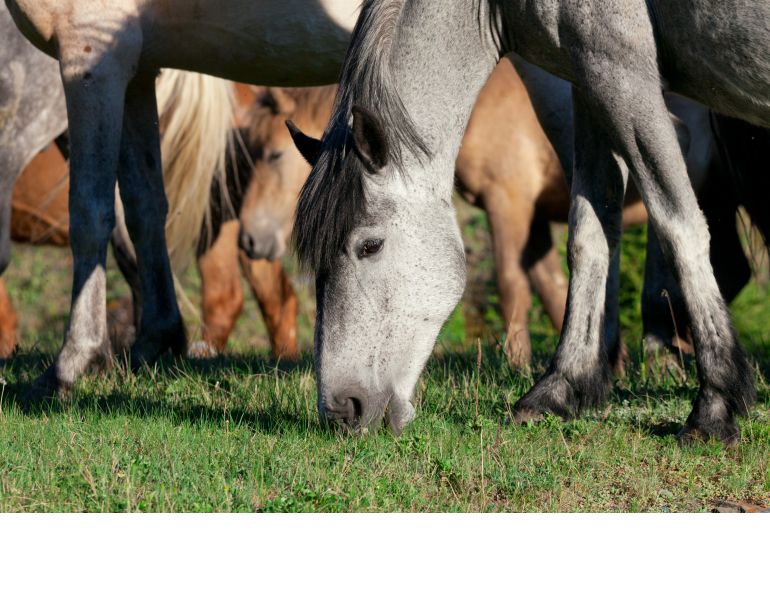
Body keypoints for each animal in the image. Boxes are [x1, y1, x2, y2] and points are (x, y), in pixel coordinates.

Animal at [3, 0, 360, 396]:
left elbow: (89, 214)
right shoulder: (138, 73)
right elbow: (143, 210)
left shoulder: (91, 59)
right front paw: (154, 341)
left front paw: (70, 364)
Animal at [290, 0, 769, 443]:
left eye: (370, 246)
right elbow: (589, 235)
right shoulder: (589, 80)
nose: (340, 411)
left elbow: (677, 223)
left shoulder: (622, 71)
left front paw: (715, 405)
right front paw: (560, 388)